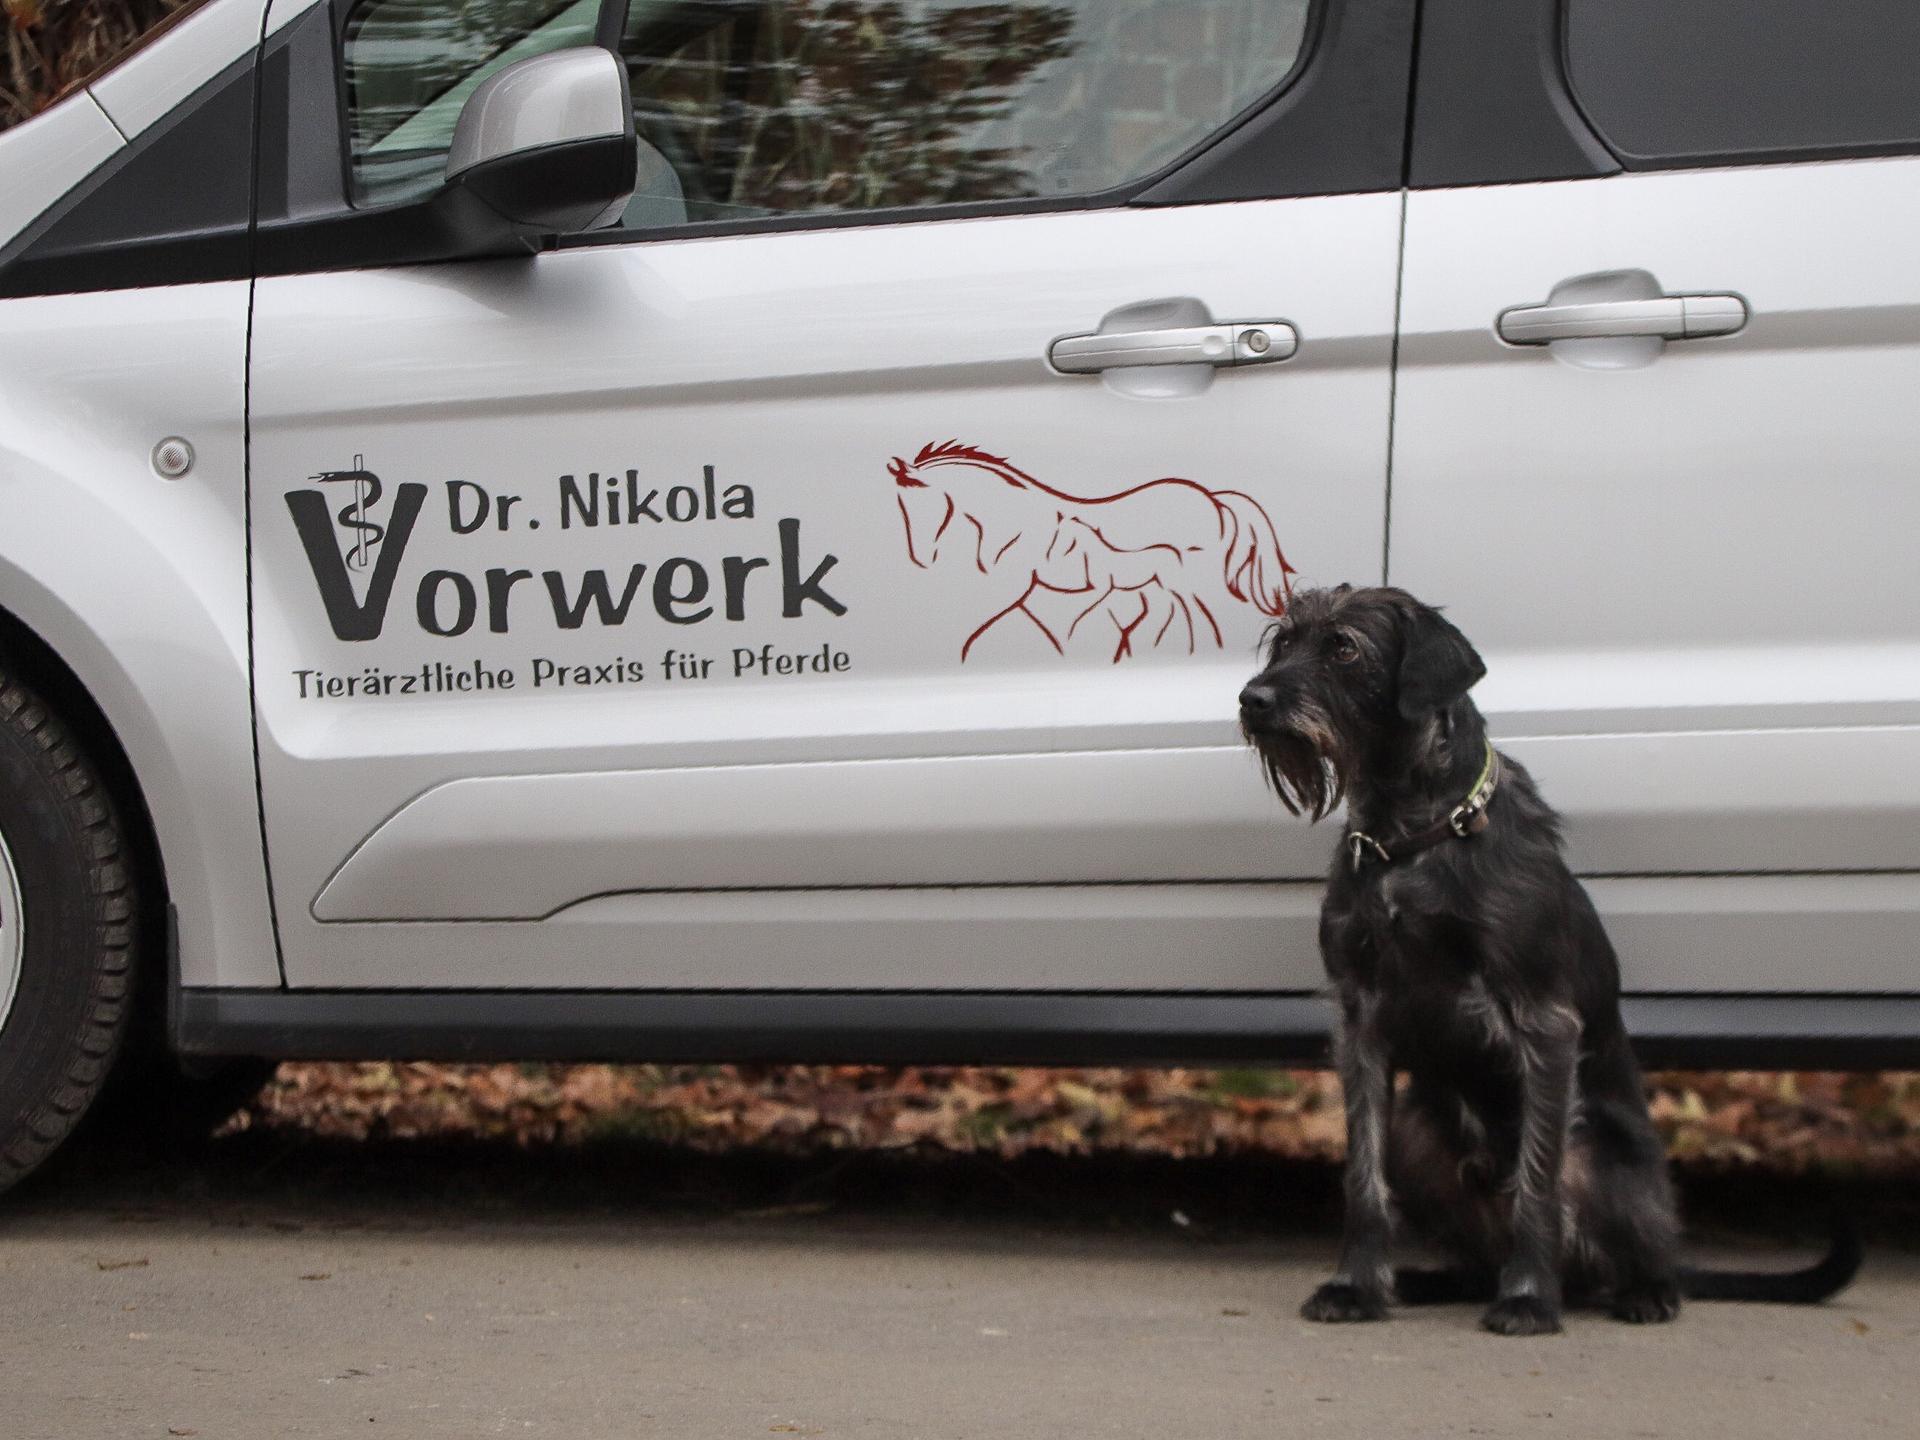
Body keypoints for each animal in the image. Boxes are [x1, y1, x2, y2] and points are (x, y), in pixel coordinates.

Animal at [888, 440, 1294, 663]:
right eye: (901, 507)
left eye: (920, 500)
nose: (922, 556)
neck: (1017, 519)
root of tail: (1214, 499)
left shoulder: (1017, 584)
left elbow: (989, 621)